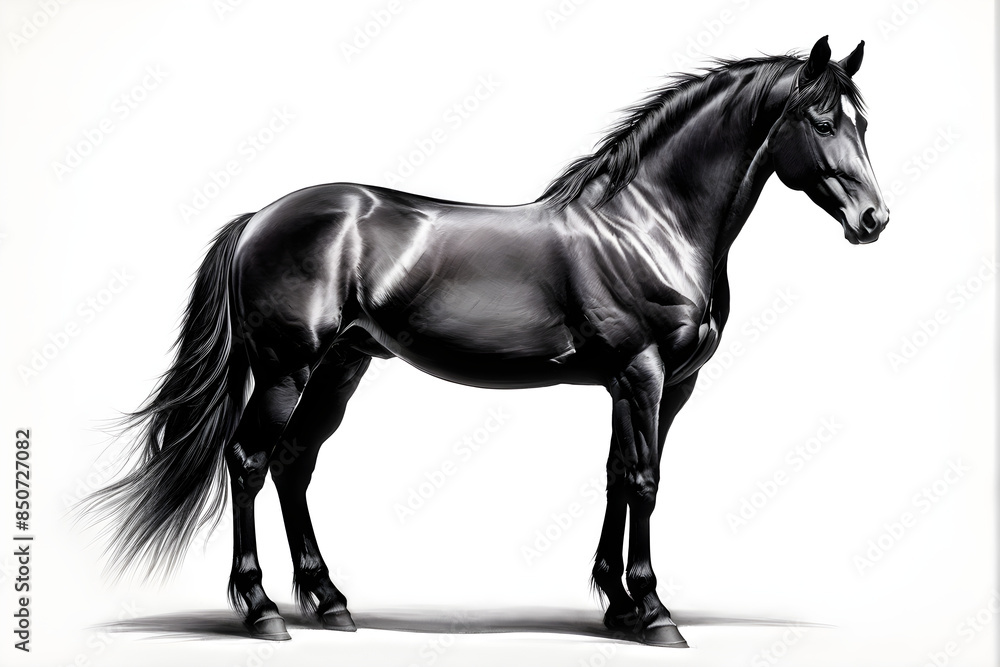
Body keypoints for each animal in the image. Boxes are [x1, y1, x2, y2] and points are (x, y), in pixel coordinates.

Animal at [82, 36, 887, 647]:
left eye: (862, 122)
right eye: (821, 119)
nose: (874, 220)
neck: (647, 224)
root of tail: (259, 218)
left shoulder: (655, 387)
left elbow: (615, 476)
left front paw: (617, 605)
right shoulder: (645, 375)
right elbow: (644, 482)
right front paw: (655, 613)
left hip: (341, 367)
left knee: (293, 462)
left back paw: (329, 601)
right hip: (286, 368)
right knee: (248, 461)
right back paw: (262, 611)